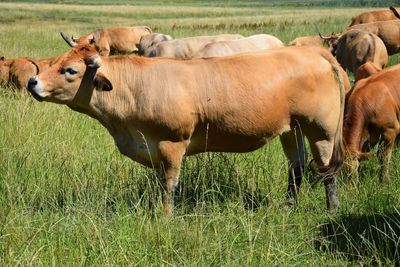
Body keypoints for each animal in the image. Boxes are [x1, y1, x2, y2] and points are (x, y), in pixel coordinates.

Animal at [26, 43, 346, 217]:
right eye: (54, 62)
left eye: (70, 70)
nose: (32, 82)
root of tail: (312, 51)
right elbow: (159, 185)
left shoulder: (172, 143)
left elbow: (169, 186)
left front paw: (165, 218)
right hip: (291, 128)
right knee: (296, 167)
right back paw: (289, 206)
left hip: (322, 128)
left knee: (326, 169)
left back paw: (331, 210)